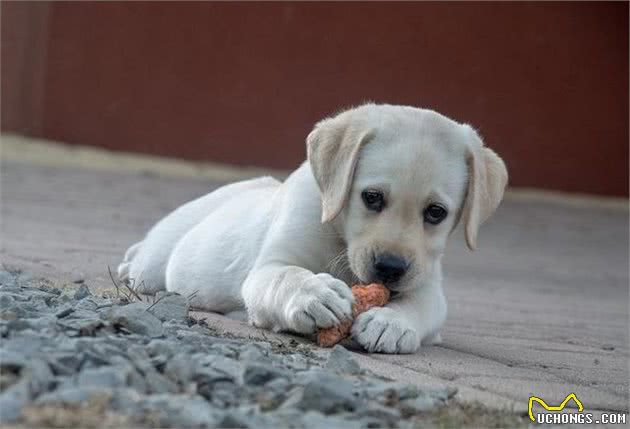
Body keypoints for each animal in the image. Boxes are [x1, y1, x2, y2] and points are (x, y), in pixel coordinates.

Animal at [118, 103, 508, 352]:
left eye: (436, 213)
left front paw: (391, 322)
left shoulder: (427, 283)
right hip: (156, 262)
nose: (390, 268)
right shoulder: (268, 268)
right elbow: (286, 275)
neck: (340, 239)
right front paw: (314, 294)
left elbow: (421, 305)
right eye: (372, 197)